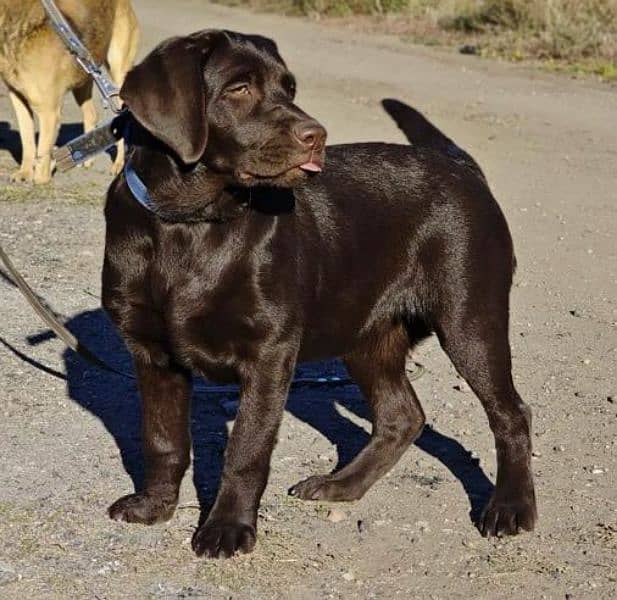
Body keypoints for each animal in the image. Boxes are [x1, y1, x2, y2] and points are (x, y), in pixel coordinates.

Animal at [0, 0, 139, 183]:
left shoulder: (49, 111)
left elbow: (43, 149)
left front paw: (42, 177)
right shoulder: (19, 101)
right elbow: (27, 141)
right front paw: (25, 172)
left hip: (119, 72)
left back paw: (119, 164)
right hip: (83, 77)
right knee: (91, 114)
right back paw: (87, 160)